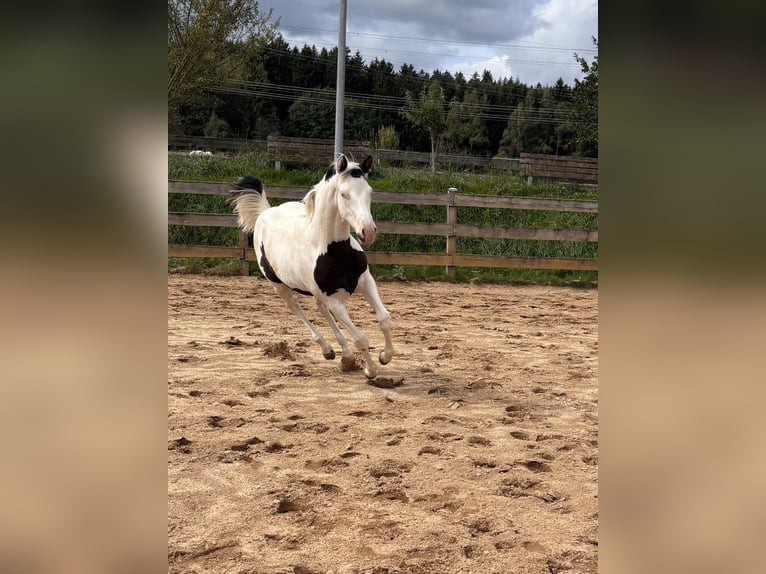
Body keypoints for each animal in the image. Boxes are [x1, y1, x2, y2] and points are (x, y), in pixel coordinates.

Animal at [228, 154, 394, 379]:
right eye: (344, 194)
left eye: (369, 192)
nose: (368, 232)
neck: (333, 250)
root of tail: (265, 212)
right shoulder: (333, 300)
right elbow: (360, 338)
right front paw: (370, 370)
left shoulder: (366, 281)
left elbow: (384, 319)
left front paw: (385, 356)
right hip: (279, 286)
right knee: (296, 308)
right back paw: (327, 349)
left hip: (316, 292)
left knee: (320, 309)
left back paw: (346, 356)